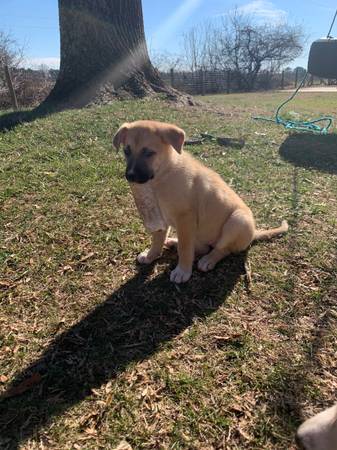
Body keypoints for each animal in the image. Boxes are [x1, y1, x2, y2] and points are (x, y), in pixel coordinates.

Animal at [113, 119, 286, 282]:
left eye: (149, 153)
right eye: (126, 151)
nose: (130, 176)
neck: (163, 174)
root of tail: (254, 233)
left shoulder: (185, 218)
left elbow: (185, 248)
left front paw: (182, 271)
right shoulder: (159, 216)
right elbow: (157, 240)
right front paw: (151, 256)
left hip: (238, 221)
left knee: (222, 249)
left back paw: (208, 260)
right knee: (201, 247)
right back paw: (173, 241)